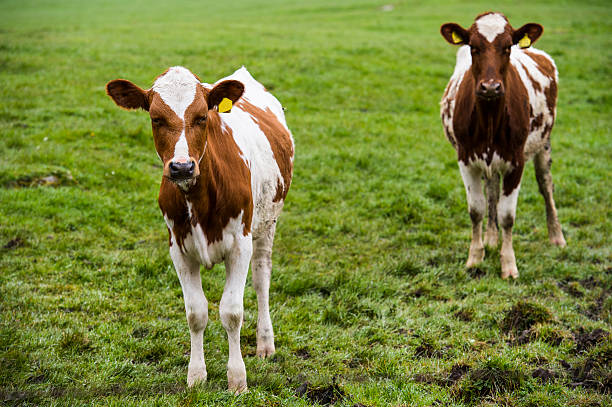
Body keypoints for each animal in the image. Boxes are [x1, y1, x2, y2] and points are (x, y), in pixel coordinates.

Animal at [106, 66, 296, 392]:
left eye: (202, 117)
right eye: (155, 118)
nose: (182, 167)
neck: (199, 198)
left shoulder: (240, 245)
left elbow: (232, 311)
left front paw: (237, 380)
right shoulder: (179, 249)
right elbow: (196, 312)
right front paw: (196, 376)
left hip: (267, 224)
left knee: (262, 280)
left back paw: (265, 343)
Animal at [440, 13, 564, 280]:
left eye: (507, 47)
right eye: (473, 47)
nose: (490, 87)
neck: (489, 119)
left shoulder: (516, 161)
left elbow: (507, 215)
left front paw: (508, 265)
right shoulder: (466, 159)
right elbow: (477, 208)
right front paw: (475, 258)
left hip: (544, 143)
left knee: (546, 185)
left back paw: (556, 236)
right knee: (492, 190)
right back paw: (491, 238)